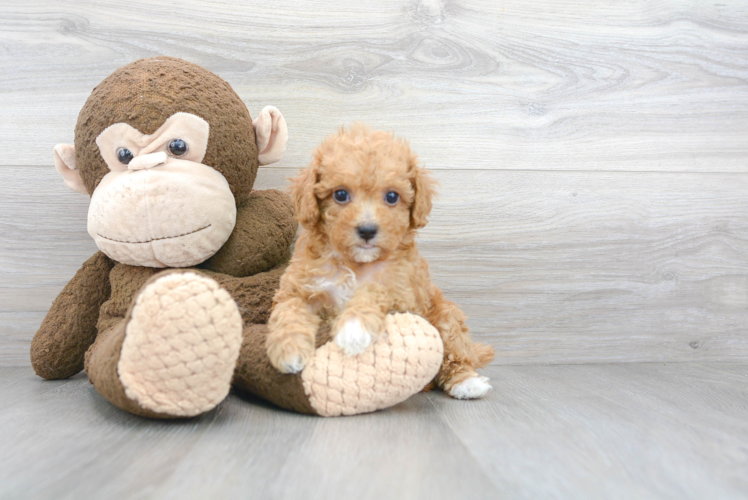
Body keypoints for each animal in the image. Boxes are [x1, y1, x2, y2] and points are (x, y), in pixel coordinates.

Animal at [266, 124, 494, 398]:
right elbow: (288, 310)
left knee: (456, 352)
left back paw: (466, 382)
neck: (355, 263)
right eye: (340, 194)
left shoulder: (401, 289)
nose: (367, 230)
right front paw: (288, 350)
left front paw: (354, 329)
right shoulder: (300, 286)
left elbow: (373, 291)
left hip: (445, 316)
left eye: (392, 197)